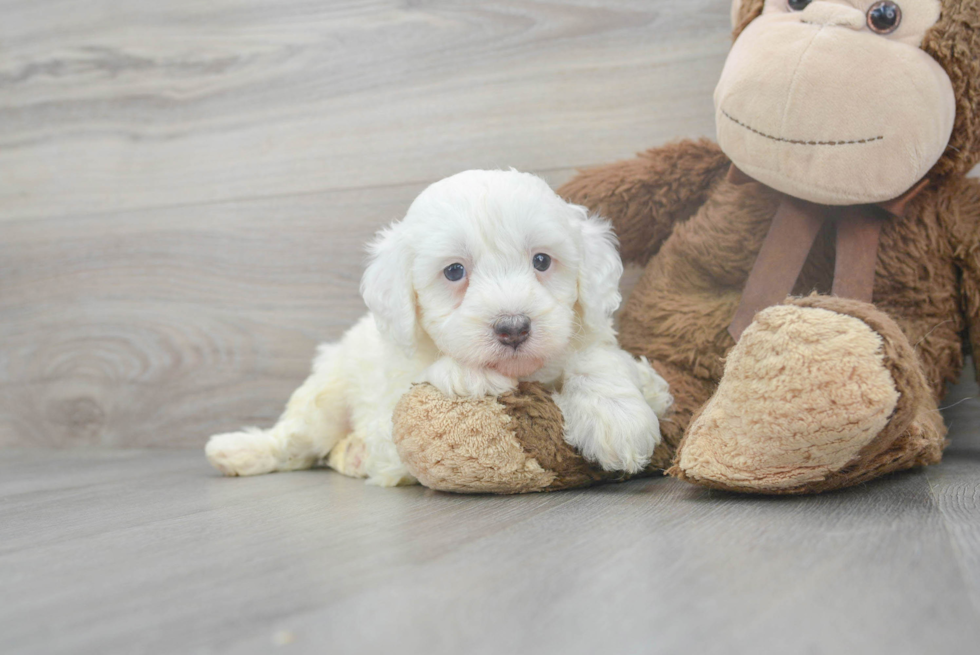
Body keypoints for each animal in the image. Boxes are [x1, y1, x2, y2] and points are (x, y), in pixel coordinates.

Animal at [204, 169, 668, 486]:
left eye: (541, 261)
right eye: (454, 271)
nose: (513, 328)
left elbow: (600, 359)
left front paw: (618, 417)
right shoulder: (393, 389)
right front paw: (470, 373)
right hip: (326, 398)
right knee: (293, 440)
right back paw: (238, 451)